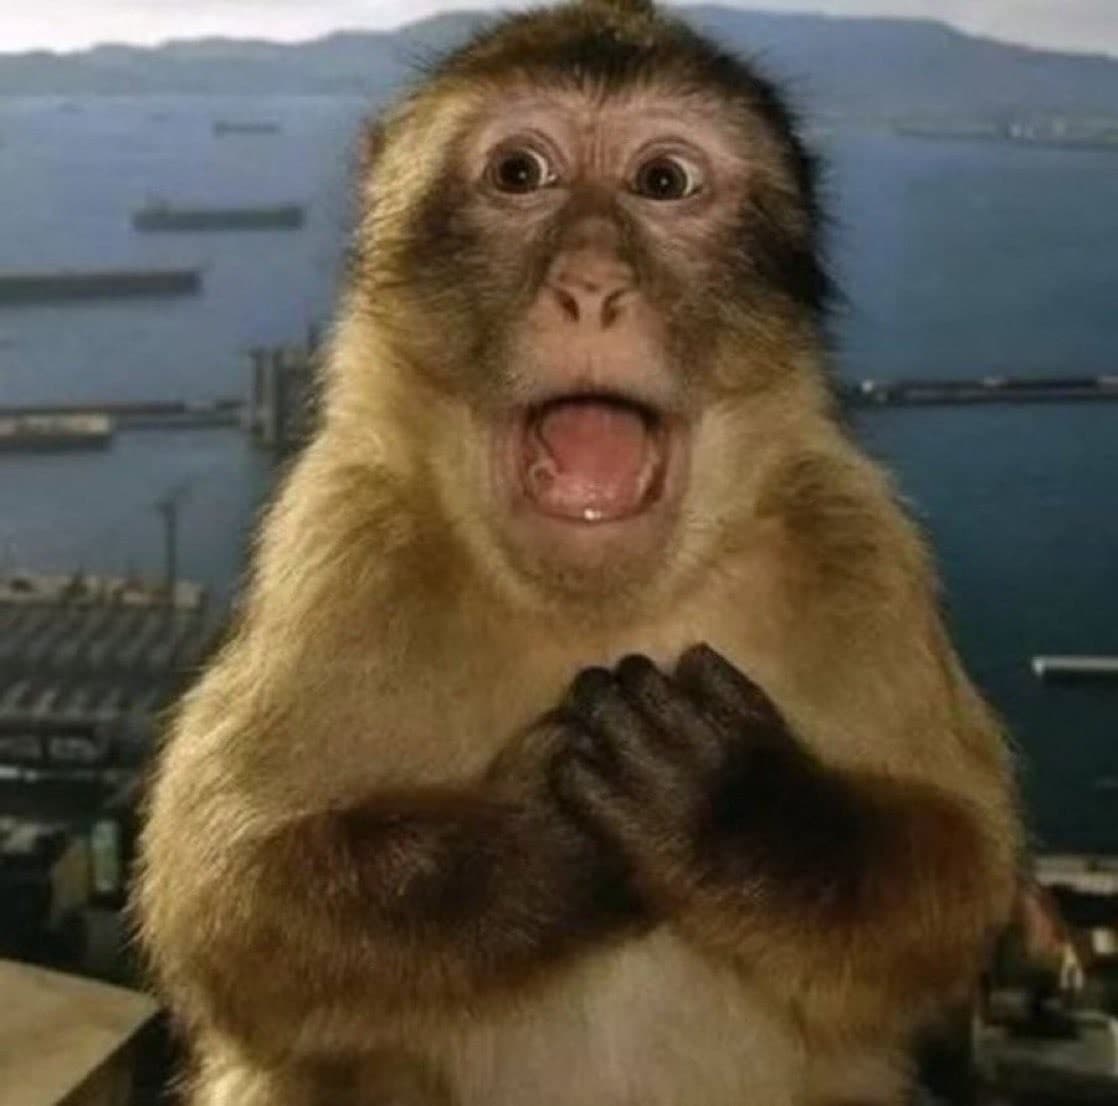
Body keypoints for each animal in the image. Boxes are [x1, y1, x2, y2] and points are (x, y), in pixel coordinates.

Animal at [134, 1, 1022, 1104]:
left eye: (663, 181)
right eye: (521, 173)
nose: (592, 285)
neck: (599, 603)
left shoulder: (856, 542)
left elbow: (957, 870)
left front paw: (729, 810)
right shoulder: (341, 540)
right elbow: (227, 899)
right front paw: (537, 842)